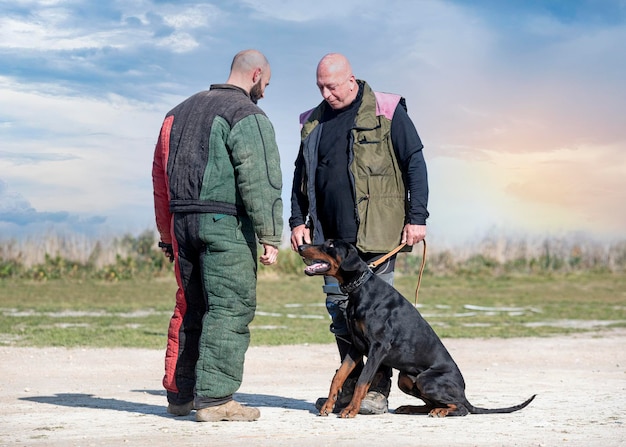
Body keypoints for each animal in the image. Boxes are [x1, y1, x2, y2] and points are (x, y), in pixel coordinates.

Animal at [296, 240, 532, 418]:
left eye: (330, 245)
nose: (300, 245)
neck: (360, 289)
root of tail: (464, 393)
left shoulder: (378, 348)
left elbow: (362, 381)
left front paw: (350, 410)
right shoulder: (356, 346)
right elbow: (339, 377)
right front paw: (328, 406)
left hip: (427, 380)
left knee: (461, 408)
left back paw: (441, 411)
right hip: (407, 379)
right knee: (434, 403)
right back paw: (411, 408)